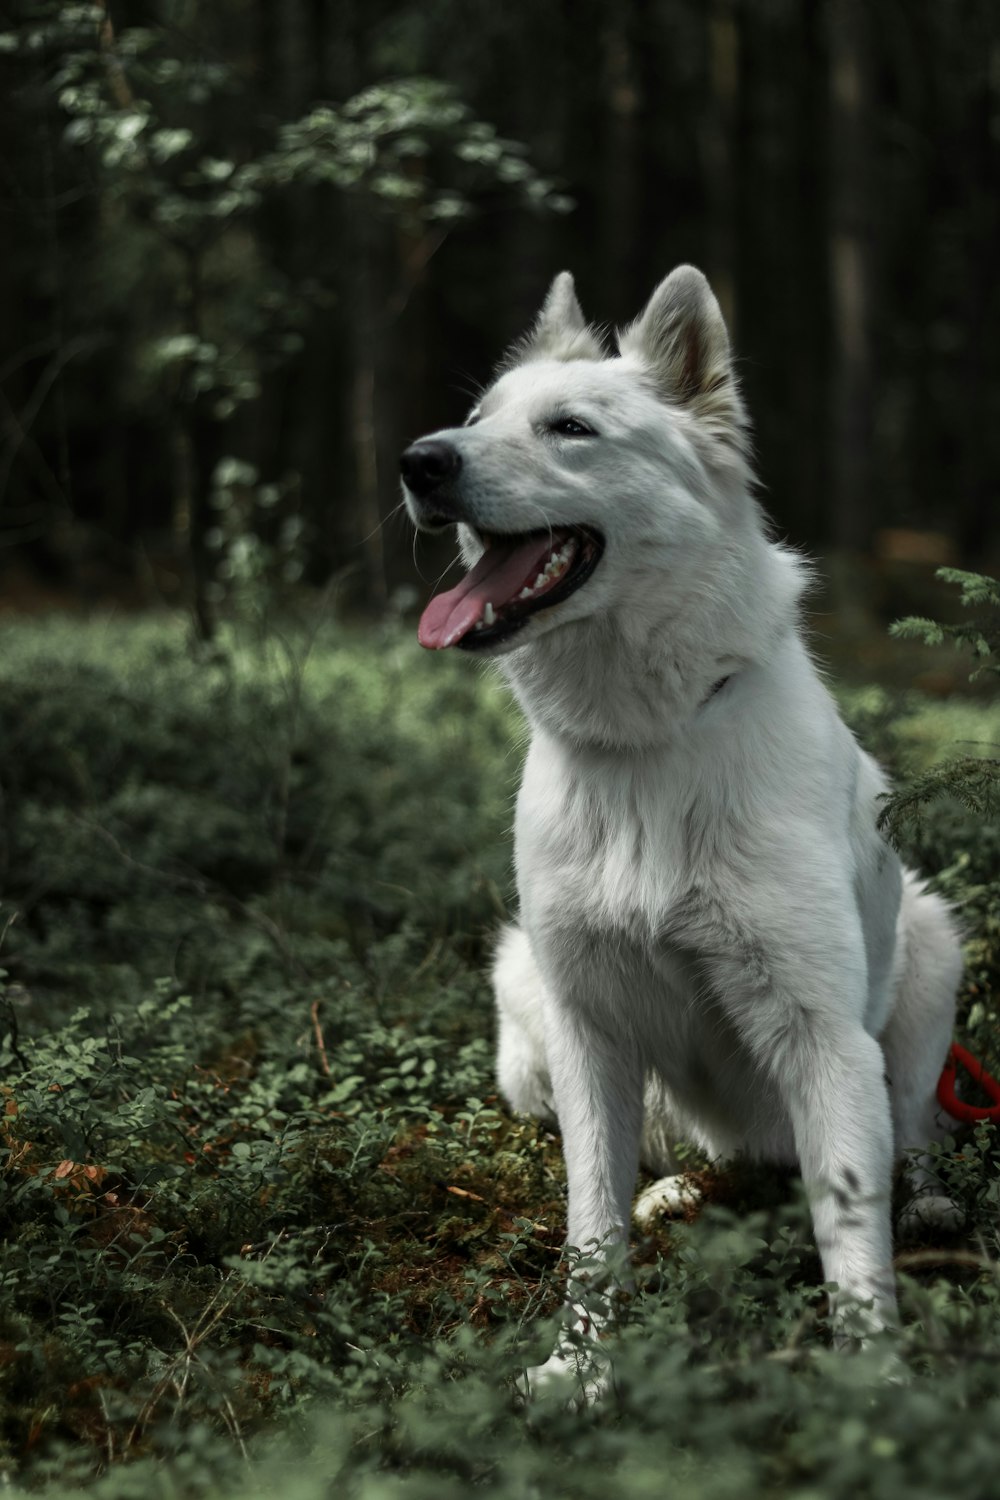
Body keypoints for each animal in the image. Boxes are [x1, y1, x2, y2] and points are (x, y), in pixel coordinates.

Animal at [401, 267, 959, 1380]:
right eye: (476, 421)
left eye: (570, 428)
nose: (419, 463)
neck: (647, 741)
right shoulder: (589, 1036)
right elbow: (589, 1224)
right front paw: (580, 1370)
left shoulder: (823, 1039)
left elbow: (850, 1230)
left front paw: (874, 1388)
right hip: (523, 1004)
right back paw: (669, 1192)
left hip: (933, 949)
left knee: (913, 1133)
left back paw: (927, 1206)